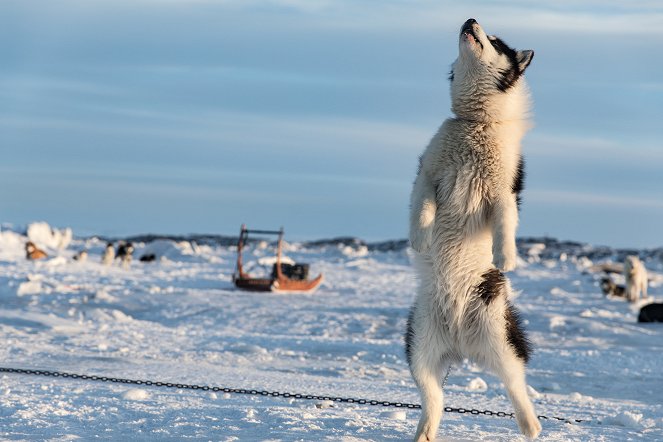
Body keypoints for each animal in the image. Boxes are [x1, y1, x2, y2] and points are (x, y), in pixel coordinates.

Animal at [404, 19, 540, 440]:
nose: (470, 20)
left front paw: (506, 256)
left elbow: (506, 223)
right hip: (419, 347)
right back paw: (424, 432)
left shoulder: (503, 191)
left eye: (496, 41)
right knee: (434, 398)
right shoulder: (429, 175)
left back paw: (531, 425)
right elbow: (422, 208)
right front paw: (420, 238)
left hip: (500, 337)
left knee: (516, 385)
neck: (476, 124)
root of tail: (459, 341)